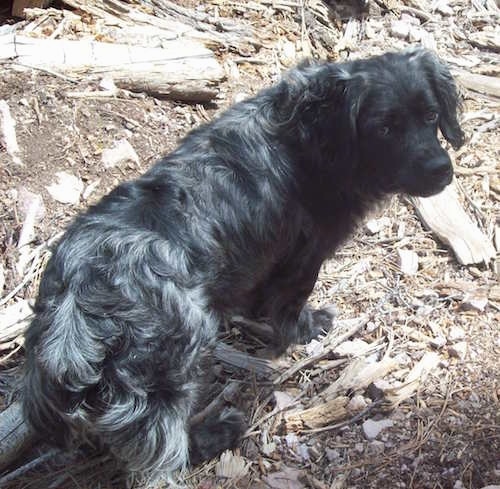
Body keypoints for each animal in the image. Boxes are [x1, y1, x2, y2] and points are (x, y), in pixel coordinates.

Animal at [21, 47, 462, 482]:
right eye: (384, 129)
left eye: (431, 116)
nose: (442, 170)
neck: (307, 134)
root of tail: (74, 304)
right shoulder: (304, 254)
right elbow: (290, 304)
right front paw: (307, 329)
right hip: (174, 364)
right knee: (164, 452)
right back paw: (218, 433)